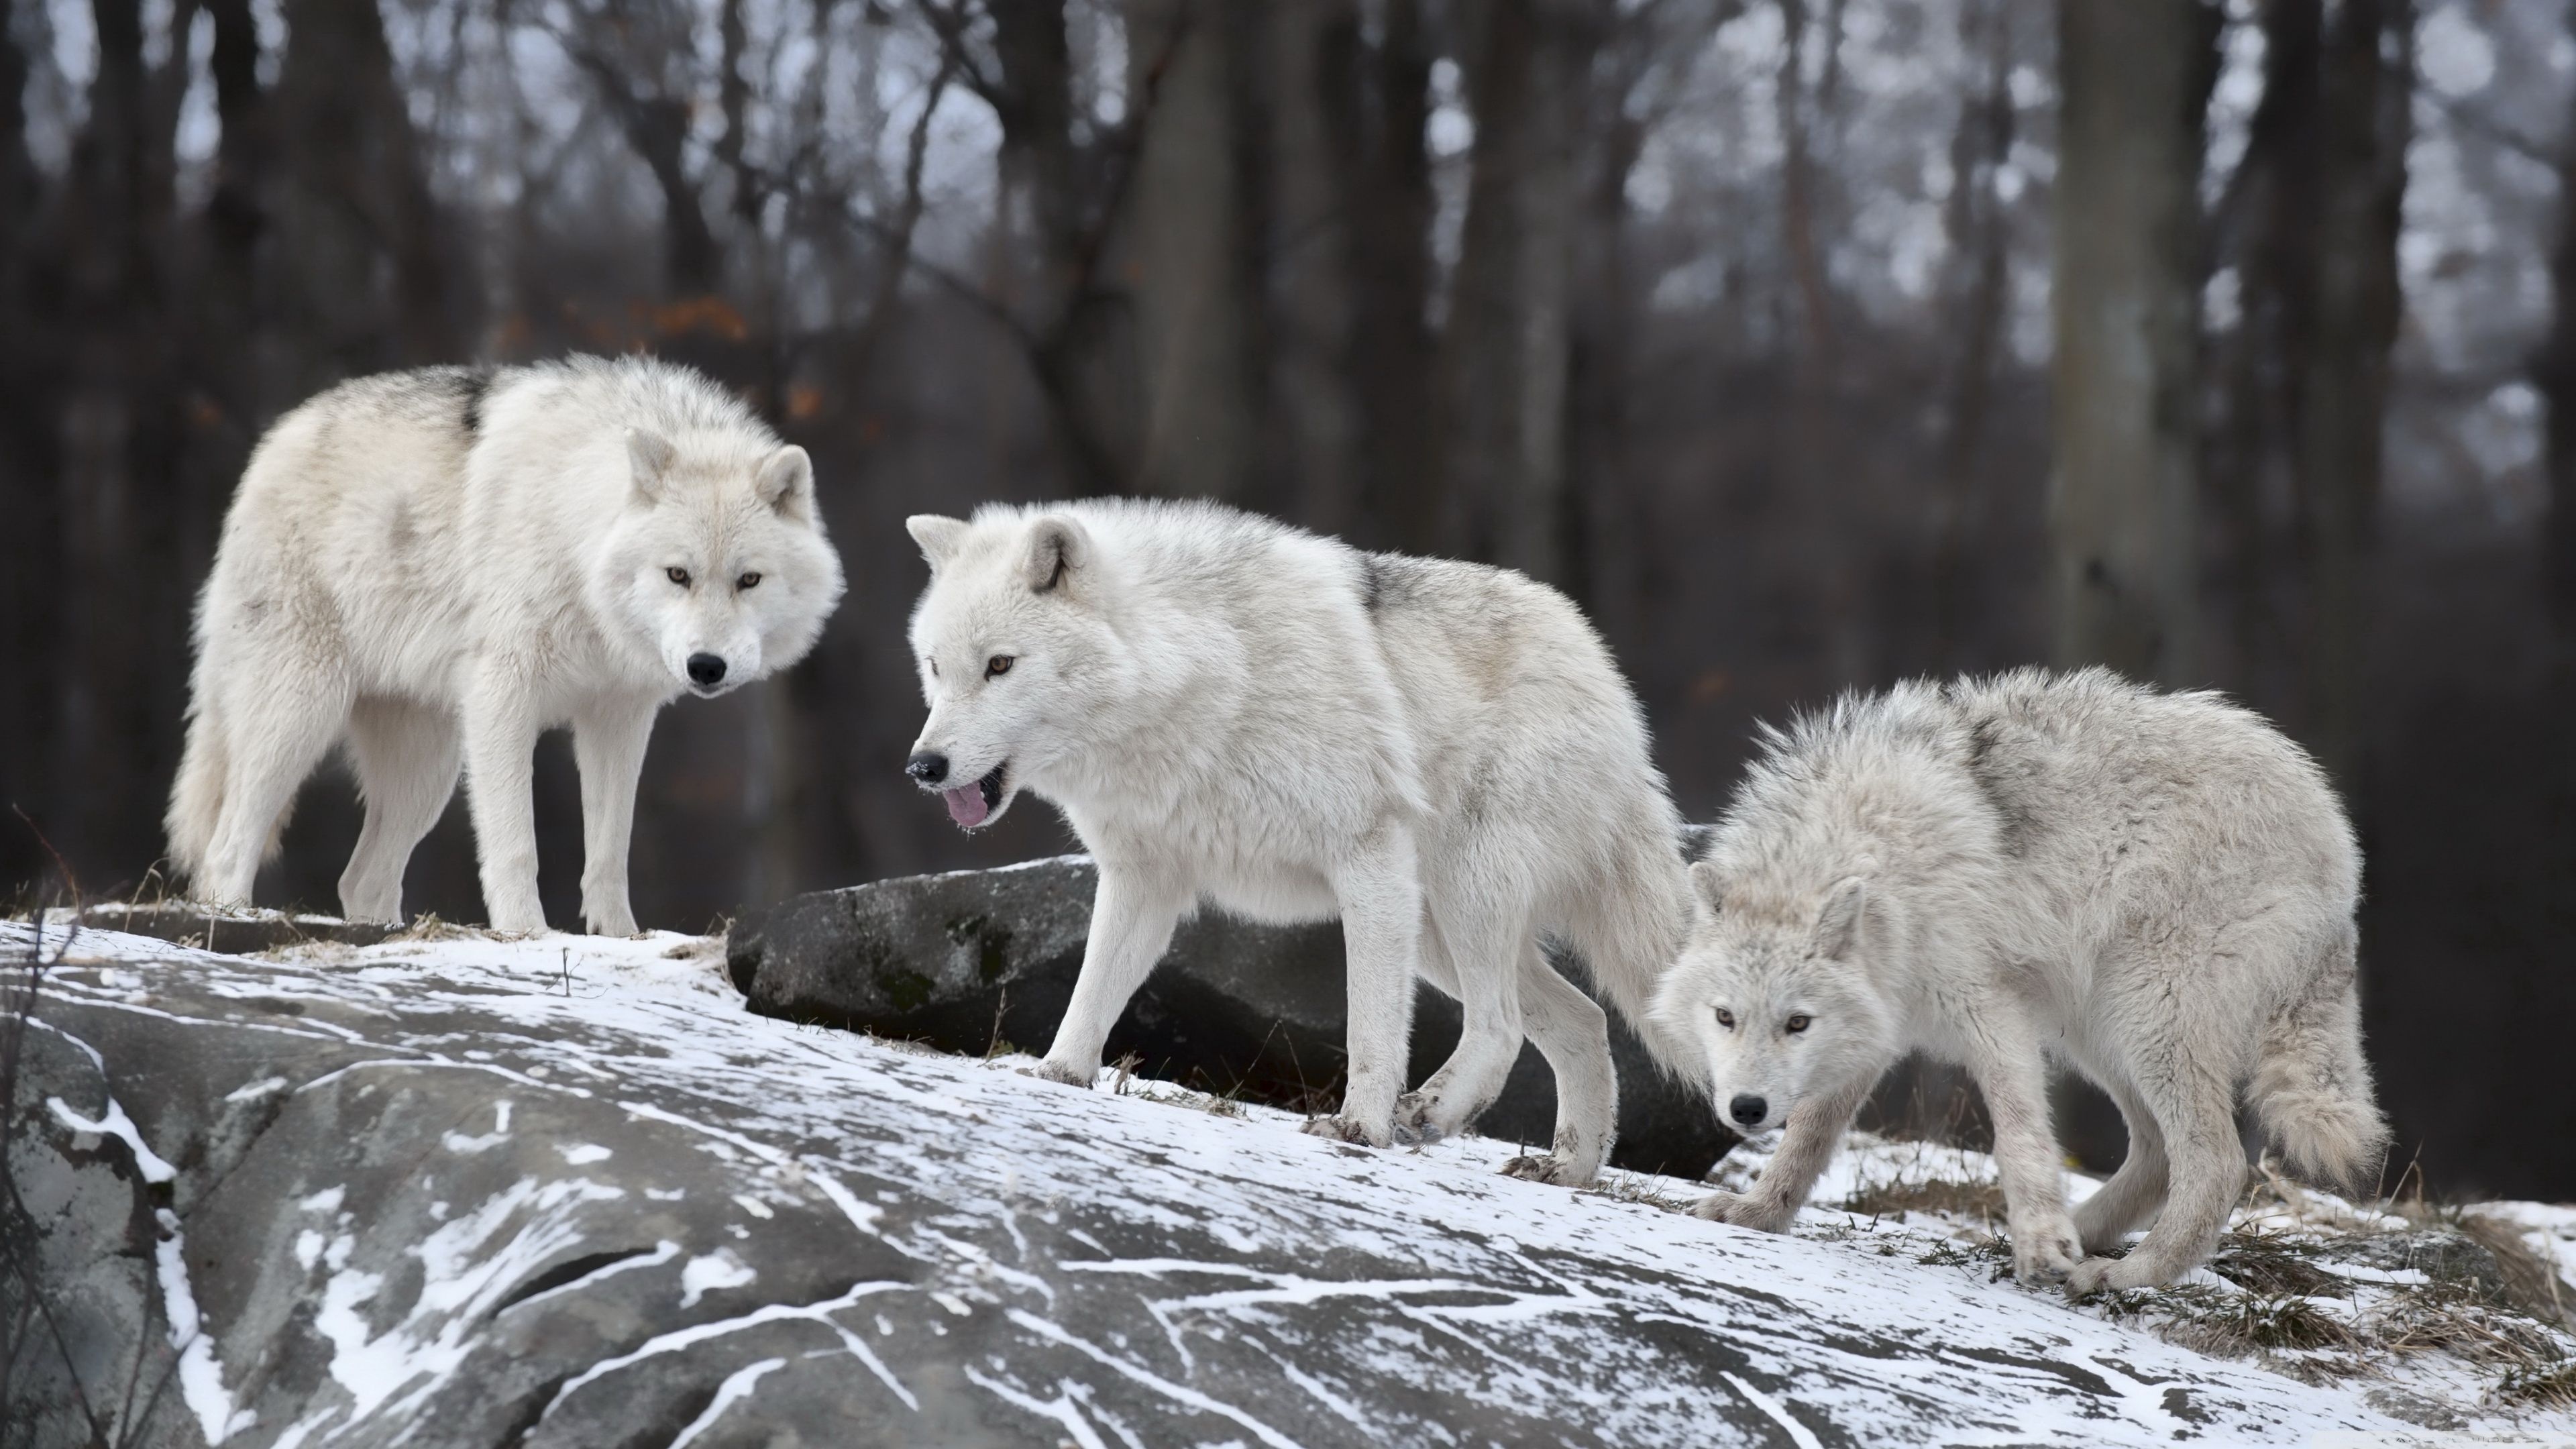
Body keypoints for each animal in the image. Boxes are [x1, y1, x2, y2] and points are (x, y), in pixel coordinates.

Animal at [168, 356, 845, 928]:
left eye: (749, 580)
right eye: (678, 574)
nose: (706, 667)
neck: (575, 538)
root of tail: (274, 441)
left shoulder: (618, 717)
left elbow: (609, 855)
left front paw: (619, 939)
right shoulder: (504, 698)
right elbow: (517, 846)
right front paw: (528, 935)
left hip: (428, 771)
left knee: (361, 880)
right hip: (303, 716)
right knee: (226, 848)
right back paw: (233, 919)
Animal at [896, 492, 1700, 1175]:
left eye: (1001, 665)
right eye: (936, 668)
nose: (923, 767)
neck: (1202, 679)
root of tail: (1601, 664)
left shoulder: (1366, 857)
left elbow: (1370, 1024)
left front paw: (1359, 1128)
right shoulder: (1143, 878)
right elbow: (1093, 991)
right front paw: (1059, 1076)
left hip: (1461, 893)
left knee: (1501, 1024)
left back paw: (1433, 1114)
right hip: (1435, 927)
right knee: (1584, 1020)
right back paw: (1568, 1170)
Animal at [1648, 665, 2390, 1284]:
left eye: (1796, 1023)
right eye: (1725, 1017)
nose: (1746, 1110)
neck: (1878, 856)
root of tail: (2338, 839)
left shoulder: (1991, 1010)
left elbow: (2019, 1135)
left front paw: (2041, 1243)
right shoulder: (1878, 1027)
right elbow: (1807, 1138)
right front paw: (1757, 1213)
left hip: (2145, 1019)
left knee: (2217, 1165)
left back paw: (2127, 1274)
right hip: (2099, 1031)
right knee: (2156, 1157)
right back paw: (2078, 1238)